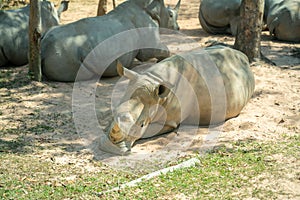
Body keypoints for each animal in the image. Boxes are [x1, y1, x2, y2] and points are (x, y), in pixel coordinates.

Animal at [41, 0, 182, 82]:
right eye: (171, 15)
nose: (178, 28)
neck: (154, 9)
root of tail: (43, 48)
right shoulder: (148, 43)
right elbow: (161, 50)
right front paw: (161, 61)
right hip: (64, 50)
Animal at [99, 45, 254, 155]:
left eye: (142, 124)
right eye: (113, 112)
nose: (108, 149)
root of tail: (242, 55)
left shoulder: (170, 121)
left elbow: (148, 132)